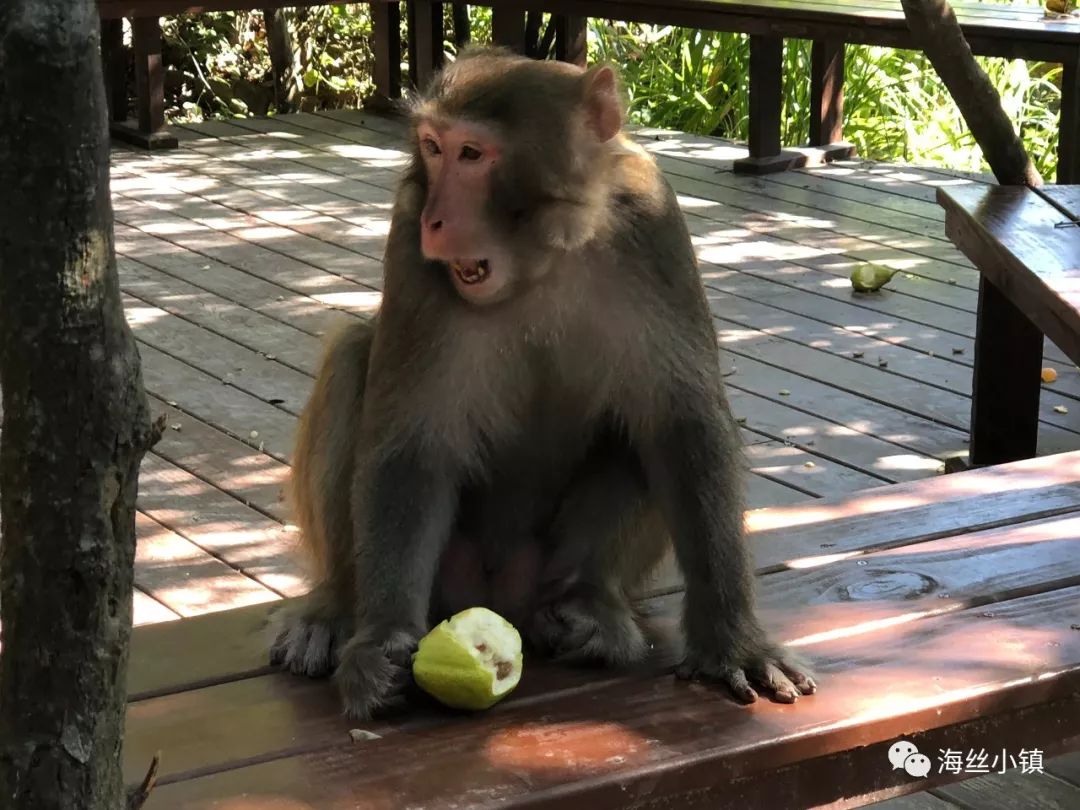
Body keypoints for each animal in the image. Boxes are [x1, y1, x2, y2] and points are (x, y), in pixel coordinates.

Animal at [272, 45, 816, 721]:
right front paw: (379, 645)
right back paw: (334, 607)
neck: (544, 256)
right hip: (450, 569)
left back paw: (590, 605)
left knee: (635, 425)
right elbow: (412, 446)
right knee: (352, 356)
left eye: (472, 154)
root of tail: (502, 594)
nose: (434, 220)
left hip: (544, 570)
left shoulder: (652, 223)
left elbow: (682, 423)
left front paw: (732, 640)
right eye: (431, 147)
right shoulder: (405, 237)